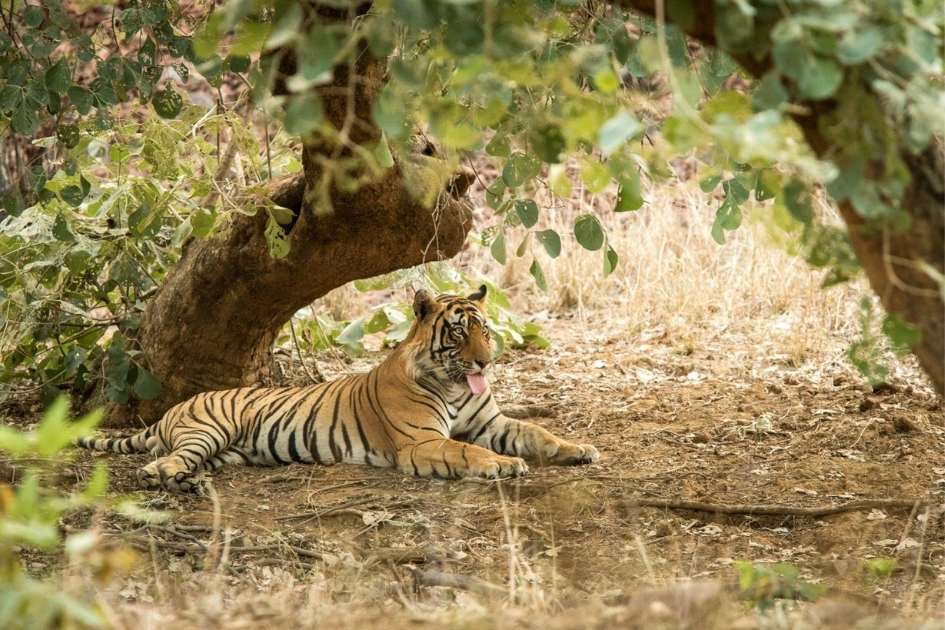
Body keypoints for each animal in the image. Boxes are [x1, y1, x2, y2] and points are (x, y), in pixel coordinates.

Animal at [76, 286, 600, 491]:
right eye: (457, 333)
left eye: (485, 330)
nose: (487, 362)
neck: (454, 386)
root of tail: (173, 410)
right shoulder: (421, 442)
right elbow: (466, 451)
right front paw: (503, 465)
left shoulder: (492, 422)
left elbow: (538, 433)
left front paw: (579, 450)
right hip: (207, 430)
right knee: (166, 458)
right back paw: (164, 476)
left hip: (228, 451)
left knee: (189, 461)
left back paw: (186, 480)